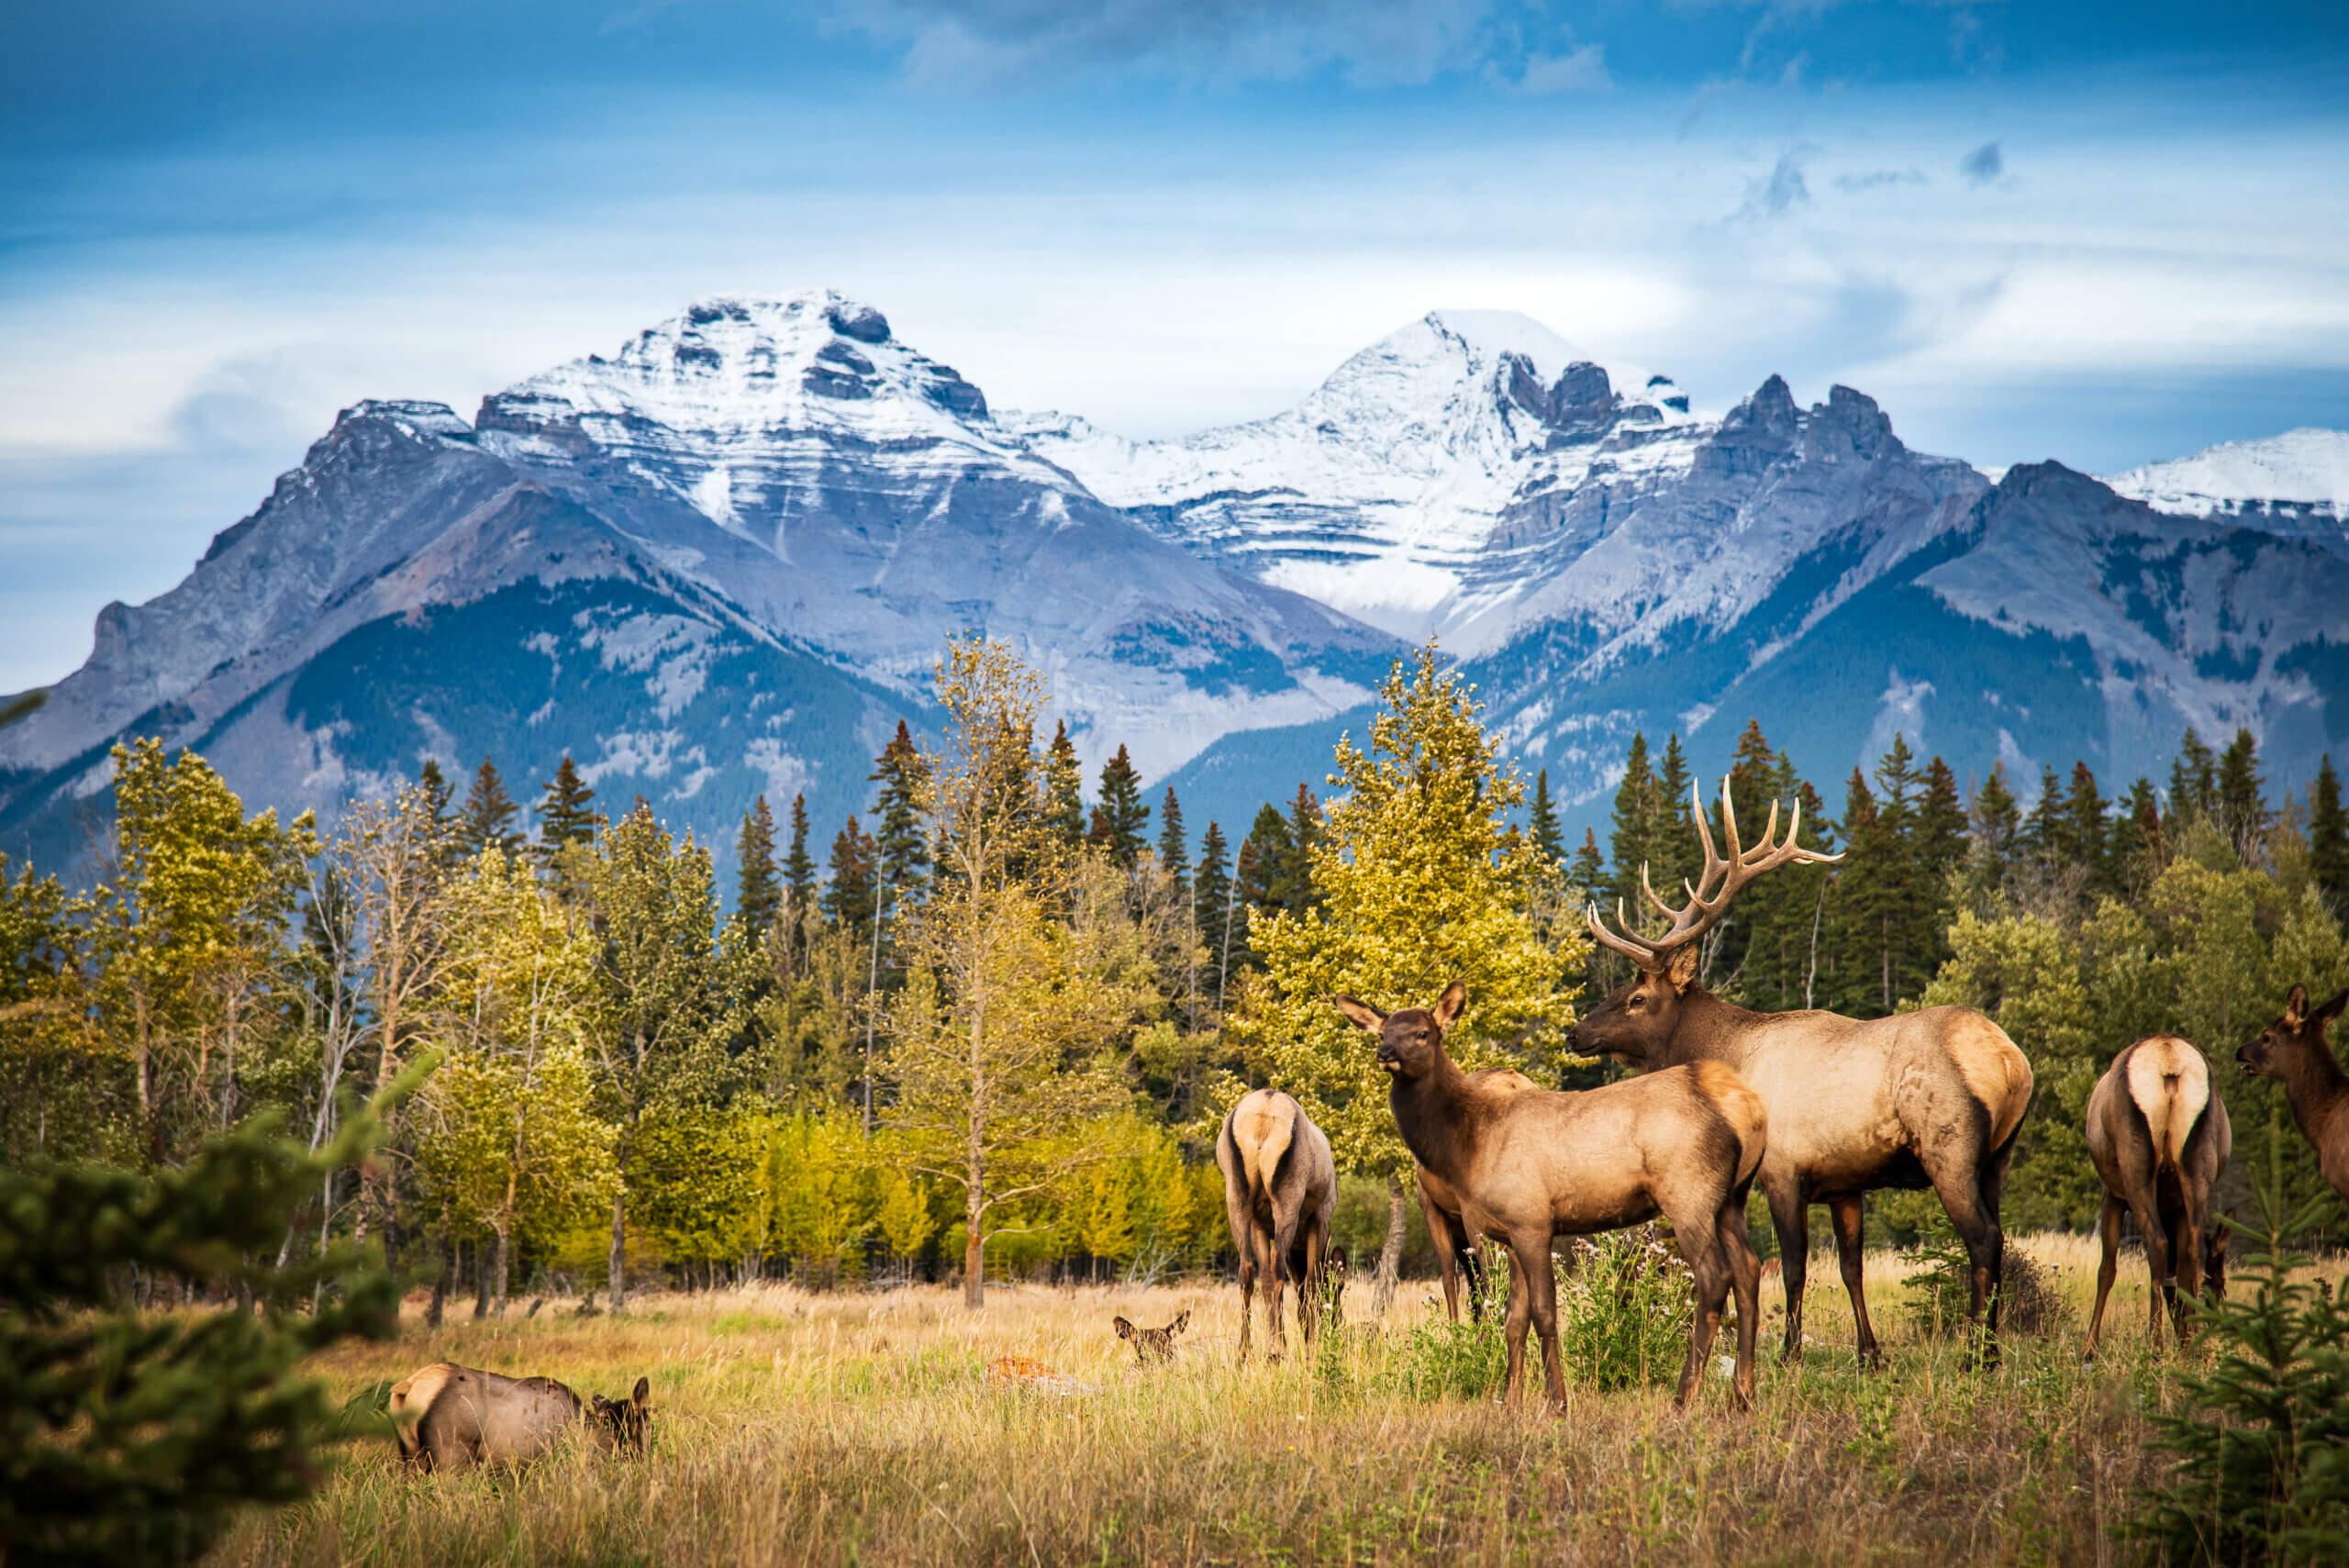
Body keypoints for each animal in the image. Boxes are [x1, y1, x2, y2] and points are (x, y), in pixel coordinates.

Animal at [1215, 1087, 1339, 1362]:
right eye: (1336, 1295)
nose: (1337, 1326)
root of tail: (1262, 1119)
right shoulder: (1321, 1216)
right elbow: (1311, 1284)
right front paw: (1311, 1347)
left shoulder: (1259, 1224)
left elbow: (1267, 1283)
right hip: (1288, 1195)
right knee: (1278, 1264)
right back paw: (1279, 1348)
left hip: (1237, 1195)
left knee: (1247, 1270)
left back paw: (1245, 1351)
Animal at [1335, 982, 1767, 1410]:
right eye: (1382, 1032)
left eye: (1423, 1033)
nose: (1385, 1053)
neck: (1468, 1144)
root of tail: (1744, 1103)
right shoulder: (1508, 1231)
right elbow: (1514, 1318)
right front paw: (1510, 1401)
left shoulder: (1531, 1220)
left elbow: (1542, 1312)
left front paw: (1557, 1400)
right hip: (1733, 1196)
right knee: (1749, 1269)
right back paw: (1742, 1395)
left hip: (1688, 1190)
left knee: (1715, 1276)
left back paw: (1684, 1395)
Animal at [1571, 778, 2034, 1368]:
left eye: (1636, 999)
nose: (1575, 1033)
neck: (1734, 1055)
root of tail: (2008, 1059)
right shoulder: (1845, 1183)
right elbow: (1851, 1268)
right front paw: (1870, 1353)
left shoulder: (1784, 1171)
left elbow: (1794, 1268)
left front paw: (1789, 1353)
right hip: (2000, 1155)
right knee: (1999, 1234)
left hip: (1948, 1148)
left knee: (1982, 1239)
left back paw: (1981, 1354)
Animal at [2083, 1035, 2231, 1356]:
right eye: (2219, 1288)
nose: (2217, 1326)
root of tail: (2169, 1062)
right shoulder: (2176, 1206)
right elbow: (2180, 1273)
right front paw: (2186, 1338)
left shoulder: (2113, 1195)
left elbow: (2106, 1269)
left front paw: (2089, 1347)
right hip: (2198, 1166)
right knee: (2191, 1253)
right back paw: (2190, 1346)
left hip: (2136, 1168)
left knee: (2157, 1244)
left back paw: (2155, 1345)